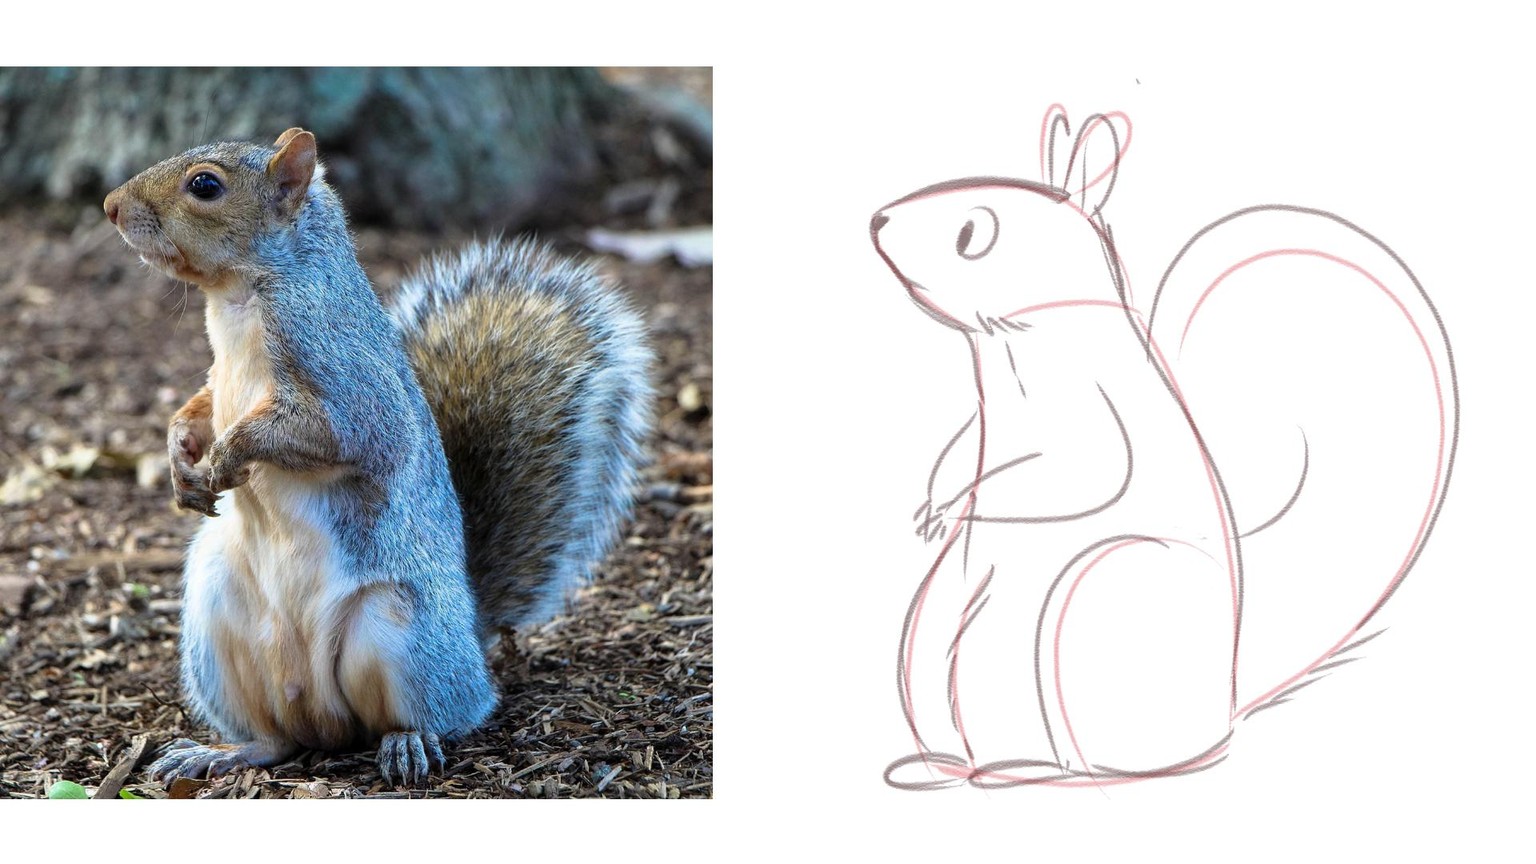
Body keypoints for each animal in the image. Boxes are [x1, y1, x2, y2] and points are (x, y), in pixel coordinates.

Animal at [102, 128, 653, 786]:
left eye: (205, 185)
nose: (110, 206)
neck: (238, 298)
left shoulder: (344, 376)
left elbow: (334, 433)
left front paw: (224, 457)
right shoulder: (219, 376)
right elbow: (201, 407)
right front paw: (181, 457)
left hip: (399, 631)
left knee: (432, 715)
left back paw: (407, 743)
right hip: (215, 618)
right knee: (277, 739)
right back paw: (224, 752)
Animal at [870, 106, 1457, 789]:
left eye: (972, 233)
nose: (876, 220)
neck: (1023, 337)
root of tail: (1226, 707)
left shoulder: (1091, 416)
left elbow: (1084, 472)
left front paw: (961, 504)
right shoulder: (984, 418)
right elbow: (963, 446)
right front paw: (938, 503)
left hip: (1089, 595)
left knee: (1093, 758)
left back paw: (1026, 767)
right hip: (928, 637)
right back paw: (936, 765)